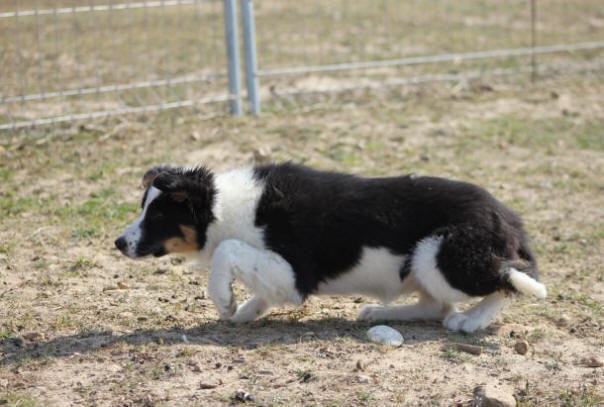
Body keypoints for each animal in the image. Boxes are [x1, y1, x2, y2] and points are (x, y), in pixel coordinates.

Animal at [114, 161, 548, 334]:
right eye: (143, 209)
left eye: (157, 216)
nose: (118, 242)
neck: (223, 206)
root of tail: (509, 218)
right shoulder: (280, 276)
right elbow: (257, 285)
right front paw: (244, 311)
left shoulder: (294, 271)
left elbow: (227, 252)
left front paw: (224, 299)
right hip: (425, 264)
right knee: (435, 305)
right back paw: (378, 313)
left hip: (441, 255)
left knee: (506, 282)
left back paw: (472, 321)